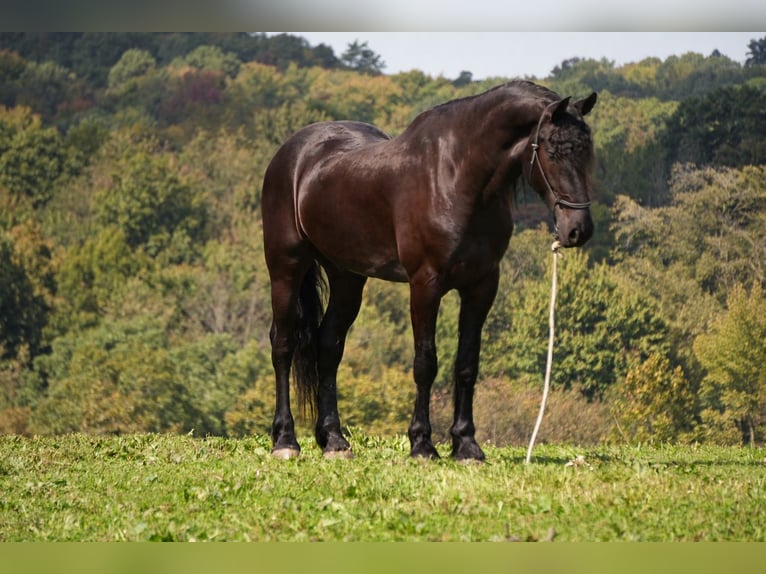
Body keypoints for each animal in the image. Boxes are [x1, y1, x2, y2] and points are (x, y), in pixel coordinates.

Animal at [261, 80, 597, 462]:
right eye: (553, 151)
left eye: (588, 151)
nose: (578, 229)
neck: (457, 177)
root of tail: (293, 153)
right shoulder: (426, 284)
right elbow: (426, 362)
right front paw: (422, 444)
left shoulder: (482, 285)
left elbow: (467, 363)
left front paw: (466, 445)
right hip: (286, 267)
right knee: (283, 344)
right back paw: (285, 440)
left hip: (347, 276)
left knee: (328, 345)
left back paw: (334, 440)